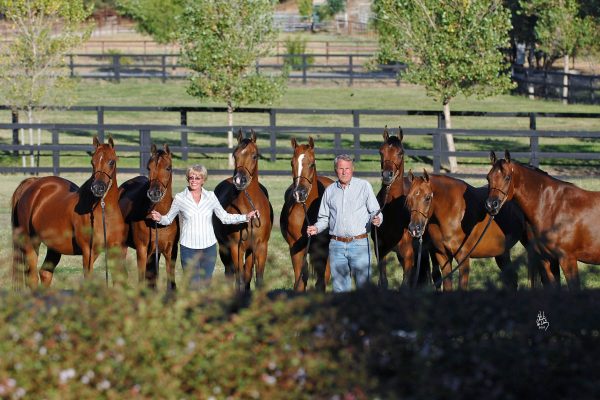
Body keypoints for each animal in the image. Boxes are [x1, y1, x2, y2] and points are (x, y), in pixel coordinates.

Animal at [10, 136, 126, 290]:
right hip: (30, 243)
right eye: (92, 162)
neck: (103, 213)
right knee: (32, 277)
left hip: (54, 247)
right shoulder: (88, 252)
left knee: (45, 273)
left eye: (111, 161)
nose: (97, 188)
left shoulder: (115, 250)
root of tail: (32, 184)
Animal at [118, 144, 179, 290]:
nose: (154, 193)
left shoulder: (171, 251)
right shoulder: (142, 249)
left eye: (168, 168)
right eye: (149, 167)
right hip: (122, 246)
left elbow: (170, 282)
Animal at [213, 130, 274, 290]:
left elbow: (256, 279)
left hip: (250, 251)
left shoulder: (260, 247)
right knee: (230, 273)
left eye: (254, 155)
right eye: (235, 155)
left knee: (247, 274)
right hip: (224, 248)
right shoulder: (236, 247)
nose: (239, 180)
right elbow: (239, 279)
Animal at [282, 137, 332, 290]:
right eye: (291, 163)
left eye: (312, 164)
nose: (300, 193)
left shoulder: (322, 250)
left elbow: (322, 280)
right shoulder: (296, 249)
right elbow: (300, 282)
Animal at [370, 128, 436, 288]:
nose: (387, 175)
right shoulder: (380, 251)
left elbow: (405, 285)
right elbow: (384, 282)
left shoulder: (408, 256)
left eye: (400, 152)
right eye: (381, 151)